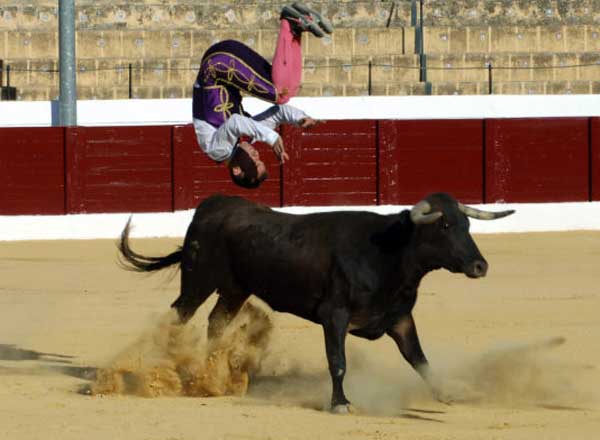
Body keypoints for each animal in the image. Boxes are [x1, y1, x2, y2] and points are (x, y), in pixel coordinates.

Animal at [119, 192, 512, 412]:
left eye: (467, 225)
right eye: (444, 227)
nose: (480, 266)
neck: (389, 253)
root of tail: (209, 208)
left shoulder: (399, 319)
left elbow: (419, 359)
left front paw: (444, 394)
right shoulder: (334, 316)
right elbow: (337, 362)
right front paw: (340, 403)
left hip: (234, 291)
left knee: (216, 322)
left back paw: (210, 375)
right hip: (197, 282)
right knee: (178, 317)